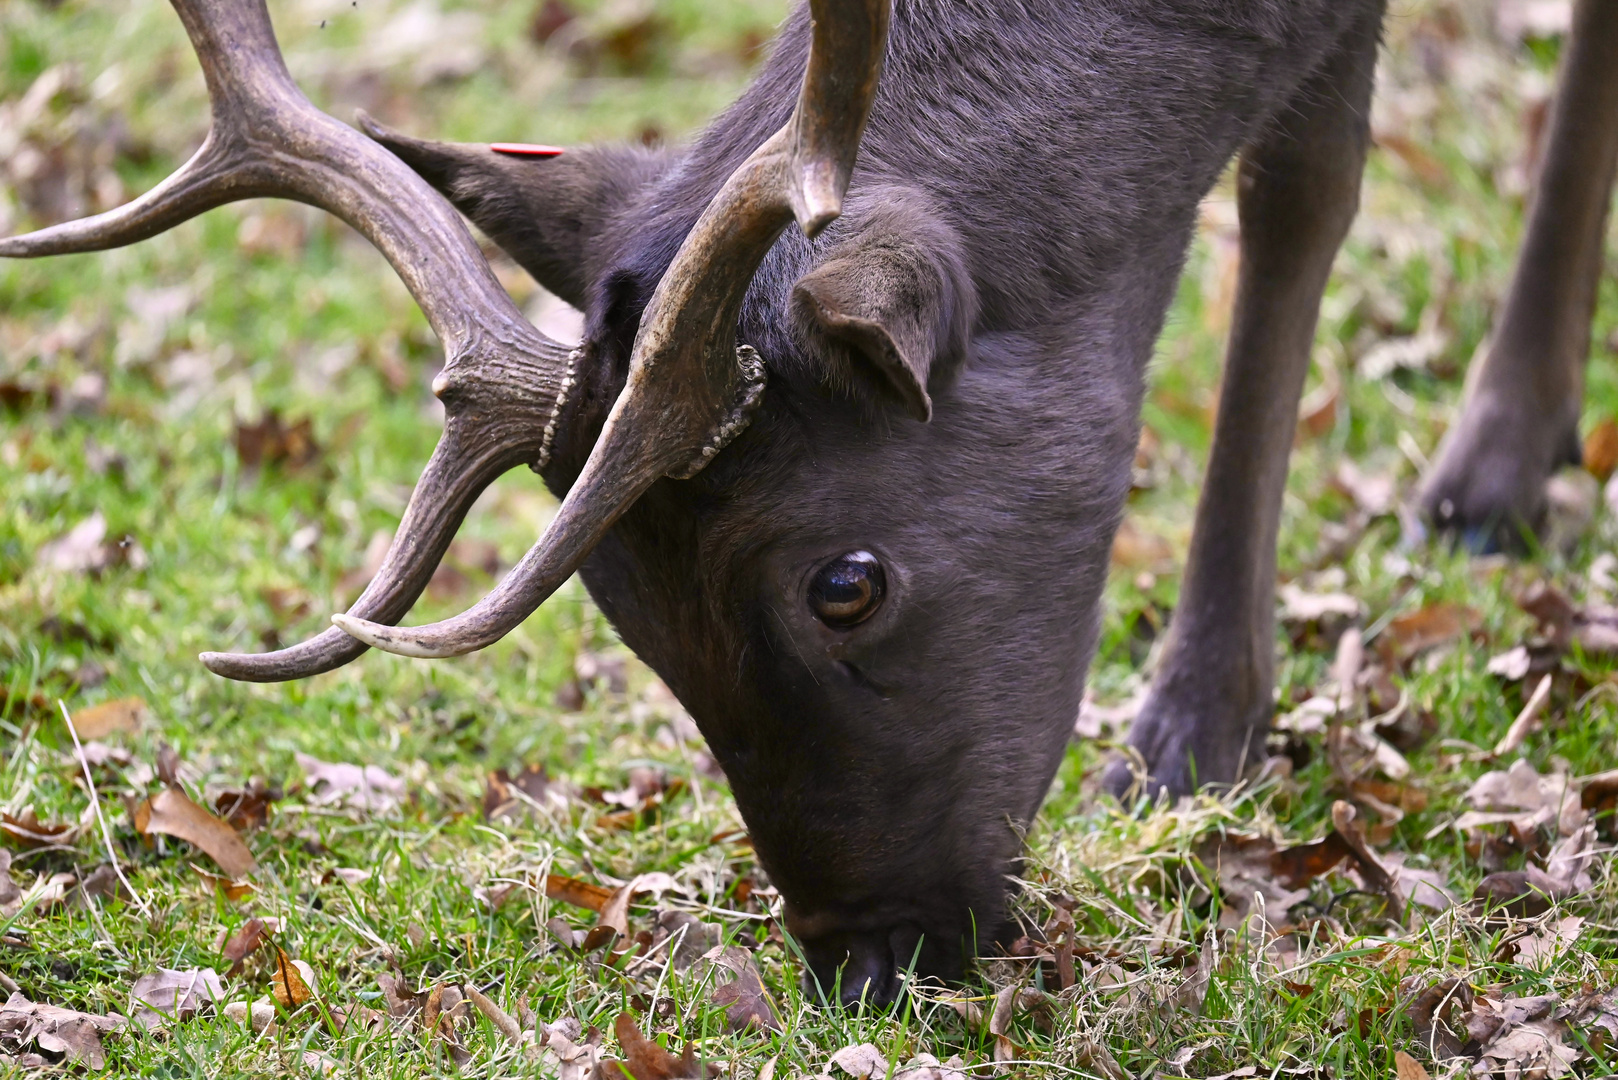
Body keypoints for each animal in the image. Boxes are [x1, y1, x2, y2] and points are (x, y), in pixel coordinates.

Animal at [6, 0, 1611, 1003]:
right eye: (628, 615)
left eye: (847, 581)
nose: (869, 962)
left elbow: (1299, 187)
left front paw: (1189, 729)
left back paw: (1487, 463)